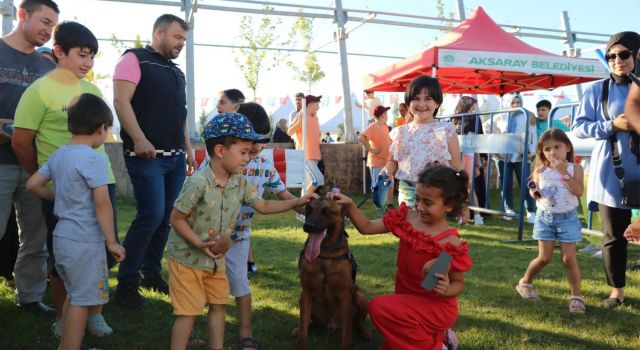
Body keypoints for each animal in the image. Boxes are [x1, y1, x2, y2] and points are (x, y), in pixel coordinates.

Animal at [294, 198, 370, 350]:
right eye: (308, 209)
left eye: (326, 211)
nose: (307, 226)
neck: (325, 254)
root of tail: (330, 324)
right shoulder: (307, 293)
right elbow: (304, 329)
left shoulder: (345, 295)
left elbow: (347, 332)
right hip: (301, 297)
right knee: (307, 322)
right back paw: (298, 329)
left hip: (360, 296)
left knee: (357, 323)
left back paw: (364, 332)